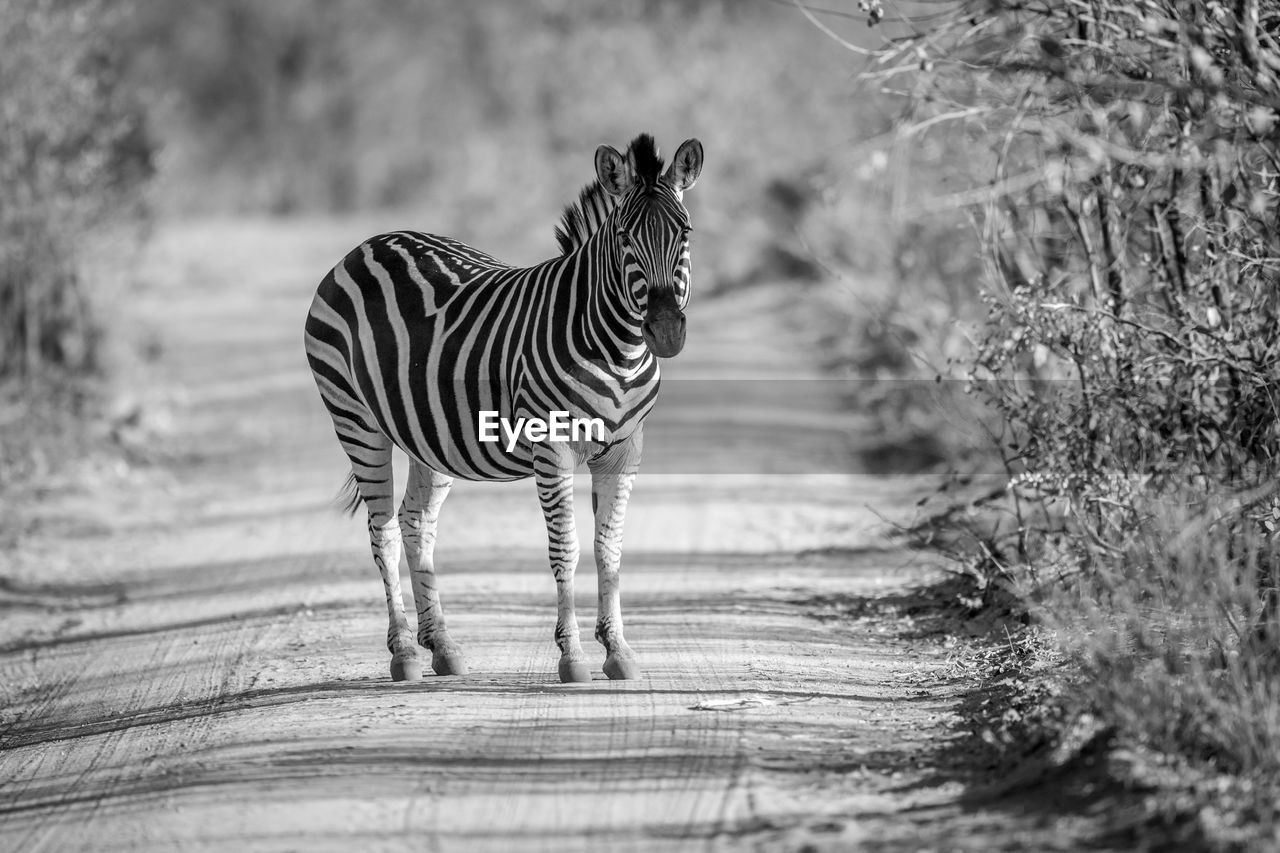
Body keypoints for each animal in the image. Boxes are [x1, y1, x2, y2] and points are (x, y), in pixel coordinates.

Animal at [304, 133, 706, 686]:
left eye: (684, 232)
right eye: (625, 237)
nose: (666, 332)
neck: (617, 346)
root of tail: (366, 245)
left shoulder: (625, 449)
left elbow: (609, 549)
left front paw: (618, 650)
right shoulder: (551, 446)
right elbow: (568, 548)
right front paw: (572, 656)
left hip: (429, 434)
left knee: (415, 522)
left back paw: (442, 645)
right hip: (355, 420)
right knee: (381, 531)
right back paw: (404, 652)